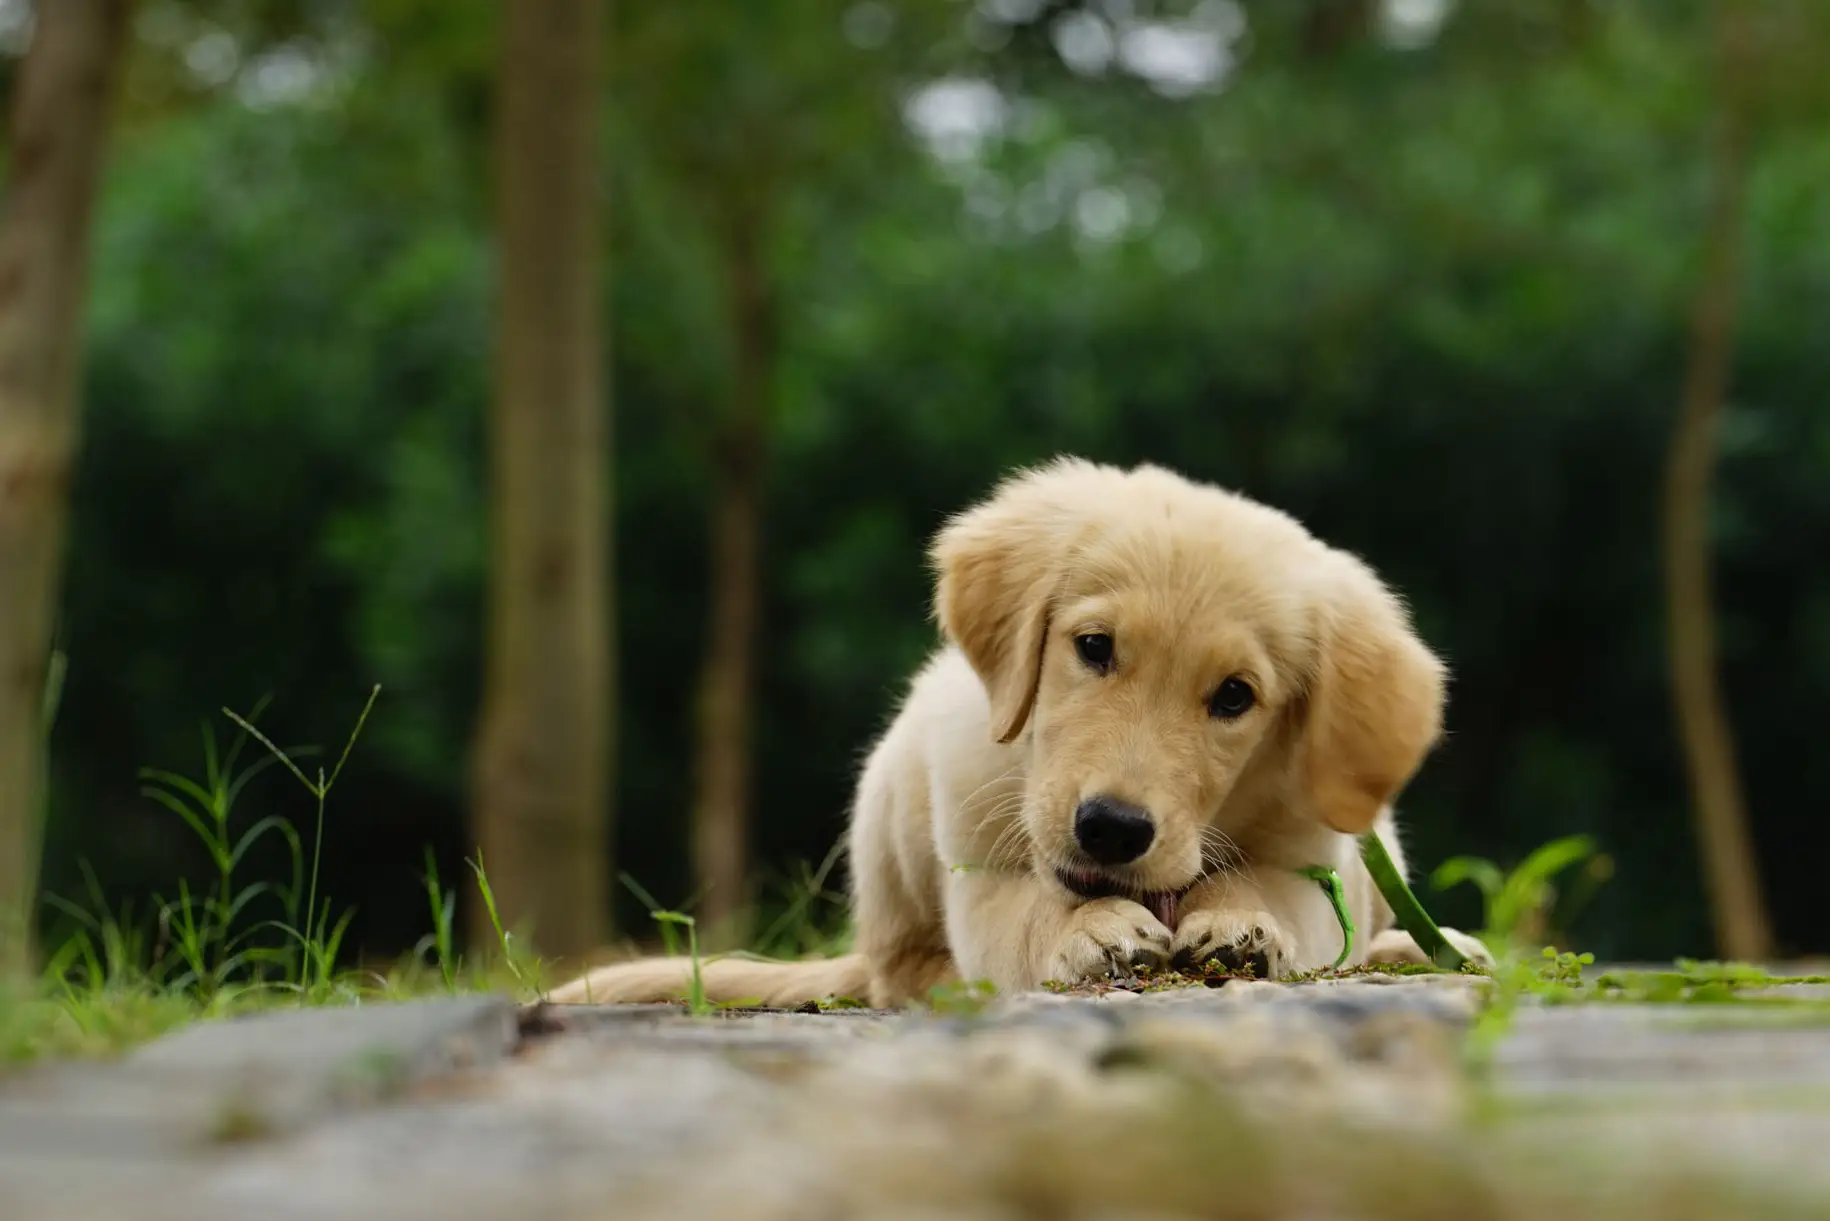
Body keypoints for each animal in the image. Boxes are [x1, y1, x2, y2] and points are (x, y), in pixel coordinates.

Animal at [552, 457, 1485, 1010]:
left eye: (1234, 696)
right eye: (1094, 647)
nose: (1111, 829)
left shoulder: (1311, 860)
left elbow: (1269, 891)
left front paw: (1241, 925)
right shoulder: (980, 868)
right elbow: (1031, 911)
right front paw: (1093, 930)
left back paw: (1418, 947)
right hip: (891, 805)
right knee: (897, 969)